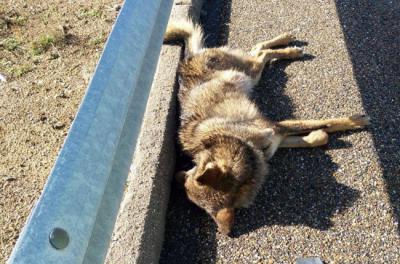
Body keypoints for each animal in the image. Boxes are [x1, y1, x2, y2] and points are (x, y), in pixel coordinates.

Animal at [163, 19, 368, 236]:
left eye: (195, 168)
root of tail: (189, 58)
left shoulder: (276, 127)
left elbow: (328, 122)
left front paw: (357, 120)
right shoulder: (276, 137)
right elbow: (316, 136)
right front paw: (323, 133)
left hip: (248, 73)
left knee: (260, 50)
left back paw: (288, 46)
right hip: (251, 74)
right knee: (259, 52)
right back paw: (288, 46)